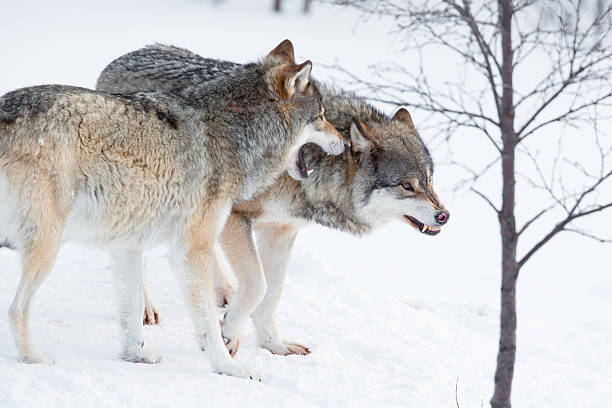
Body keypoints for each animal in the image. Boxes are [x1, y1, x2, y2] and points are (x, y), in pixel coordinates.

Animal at [0, 39, 346, 380]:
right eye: (322, 115)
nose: (343, 143)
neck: (236, 130)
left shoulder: (127, 244)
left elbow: (130, 313)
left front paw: (135, 355)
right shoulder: (193, 248)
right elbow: (216, 318)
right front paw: (228, 365)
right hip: (48, 246)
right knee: (16, 308)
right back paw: (33, 357)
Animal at [97, 43, 450, 356]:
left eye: (430, 180)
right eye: (407, 186)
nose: (444, 216)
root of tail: (119, 59)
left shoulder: (280, 230)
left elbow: (271, 293)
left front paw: (274, 345)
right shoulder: (235, 217)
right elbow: (258, 285)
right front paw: (228, 334)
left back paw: (224, 291)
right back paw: (148, 308)